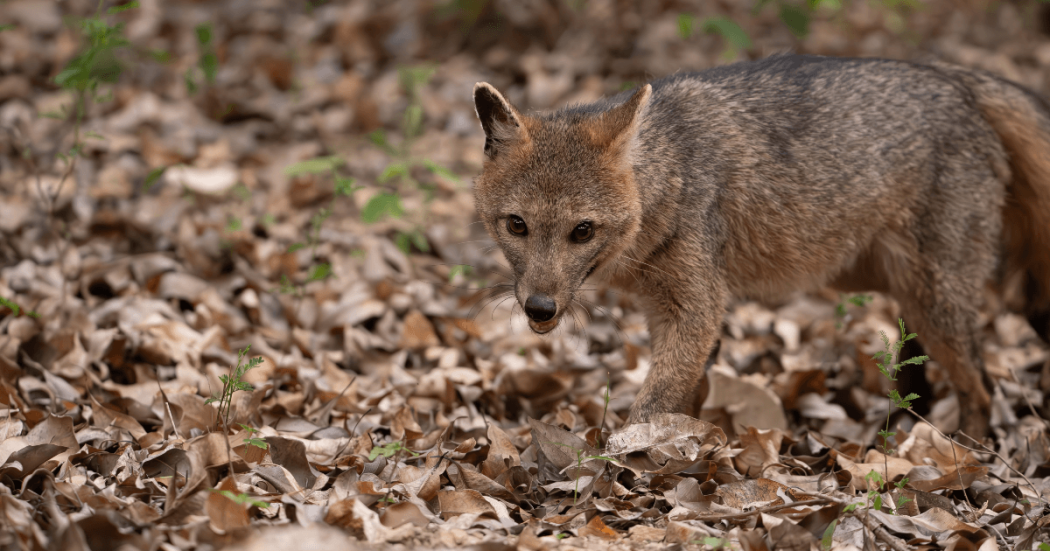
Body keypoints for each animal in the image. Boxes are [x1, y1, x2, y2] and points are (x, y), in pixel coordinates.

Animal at [470, 54, 1050, 437]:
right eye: (517, 225)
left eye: (583, 231)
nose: (539, 308)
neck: (672, 175)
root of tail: (953, 76)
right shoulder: (682, 314)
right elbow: (685, 402)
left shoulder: (697, 310)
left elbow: (652, 407)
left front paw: (623, 466)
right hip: (895, 290)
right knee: (921, 377)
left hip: (937, 302)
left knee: (983, 388)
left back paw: (960, 457)